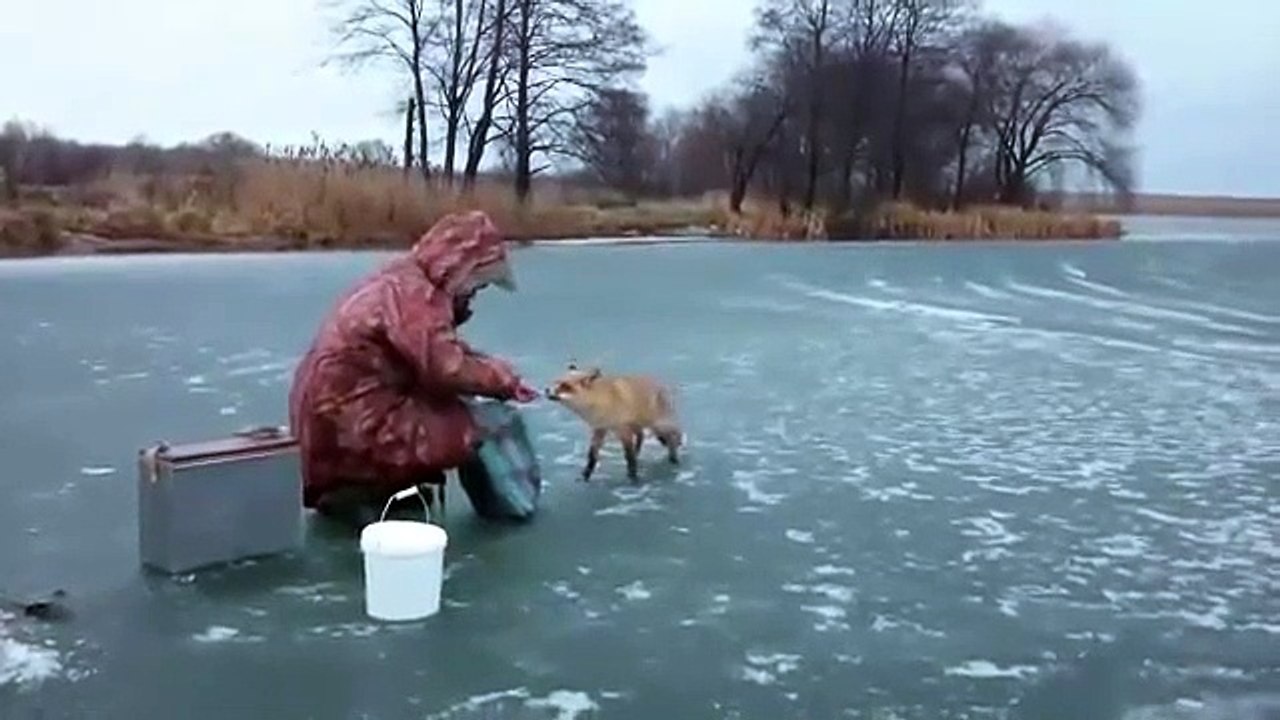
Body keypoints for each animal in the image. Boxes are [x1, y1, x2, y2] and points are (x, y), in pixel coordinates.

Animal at [545, 363, 683, 483]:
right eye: (555, 382)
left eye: (565, 386)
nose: (546, 390)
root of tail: (662, 385)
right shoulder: (600, 429)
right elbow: (592, 456)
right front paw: (586, 476)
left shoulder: (622, 430)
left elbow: (629, 457)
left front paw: (633, 478)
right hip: (638, 426)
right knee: (642, 436)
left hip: (658, 425)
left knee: (673, 435)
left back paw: (674, 456)